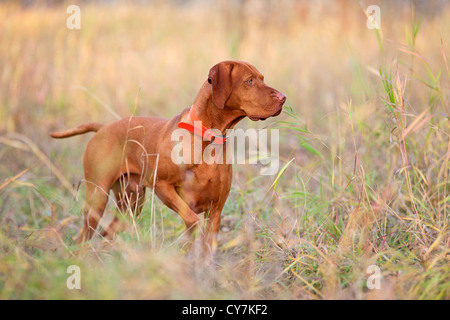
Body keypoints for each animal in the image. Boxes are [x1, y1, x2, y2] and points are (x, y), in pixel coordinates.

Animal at [51, 61, 286, 252]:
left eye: (262, 78)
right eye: (249, 81)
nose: (283, 98)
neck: (207, 138)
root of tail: (103, 128)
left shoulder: (216, 211)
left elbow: (206, 247)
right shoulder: (163, 187)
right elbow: (192, 221)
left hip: (131, 205)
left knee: (105, 234)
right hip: (97, 199)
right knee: (83, 237)